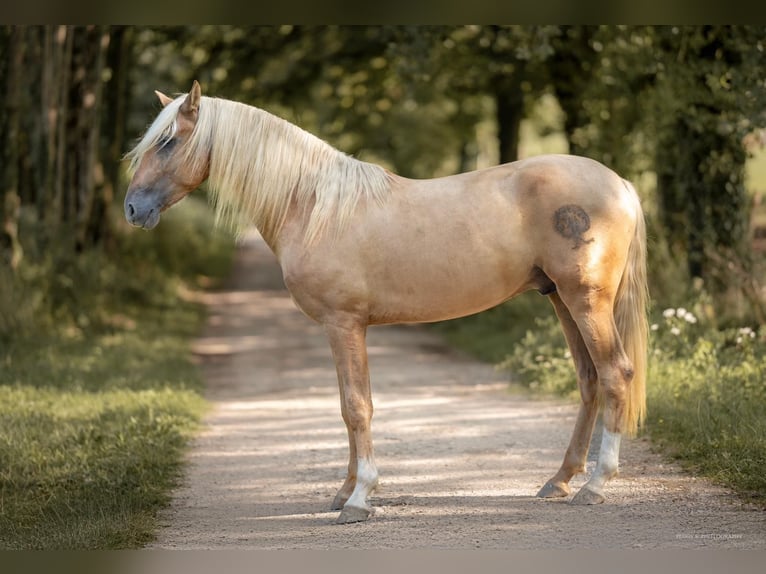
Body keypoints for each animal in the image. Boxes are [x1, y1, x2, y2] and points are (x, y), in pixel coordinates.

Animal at [124, 81, 648, 528]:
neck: (313, 206)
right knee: (588, 380)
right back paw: (559, 481)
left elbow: (358, 407)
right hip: (559, 299)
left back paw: (596, 485)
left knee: (614, 373)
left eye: (167, 142)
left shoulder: (344, 324)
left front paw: (359, 499)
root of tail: (620, 183)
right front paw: (345, 491)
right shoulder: (342, 328)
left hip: (586, 300)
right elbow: (345, 406)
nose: (132, 208)